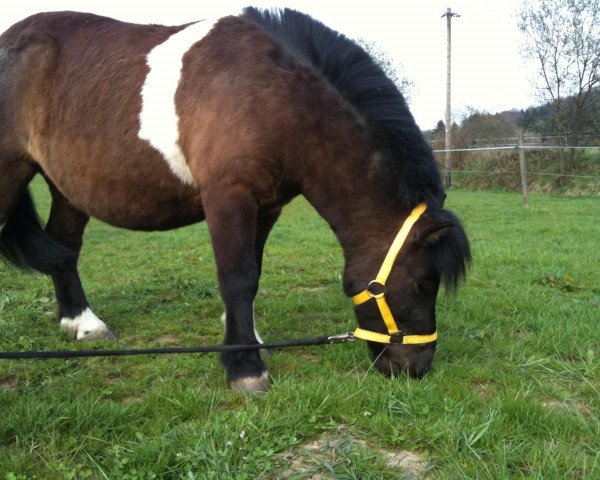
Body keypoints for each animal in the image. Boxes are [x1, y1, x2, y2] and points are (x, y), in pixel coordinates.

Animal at [0, 7, 468, 392]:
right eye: (425, 283)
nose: (416, 367)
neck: (274, 97)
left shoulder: (267, 205)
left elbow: (252, 275)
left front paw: (246, 340)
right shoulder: (228, 197)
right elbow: (238, 278)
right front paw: (245, 366)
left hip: (68, 188)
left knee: (64, 249)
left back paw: (83, 324)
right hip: (10, 172)